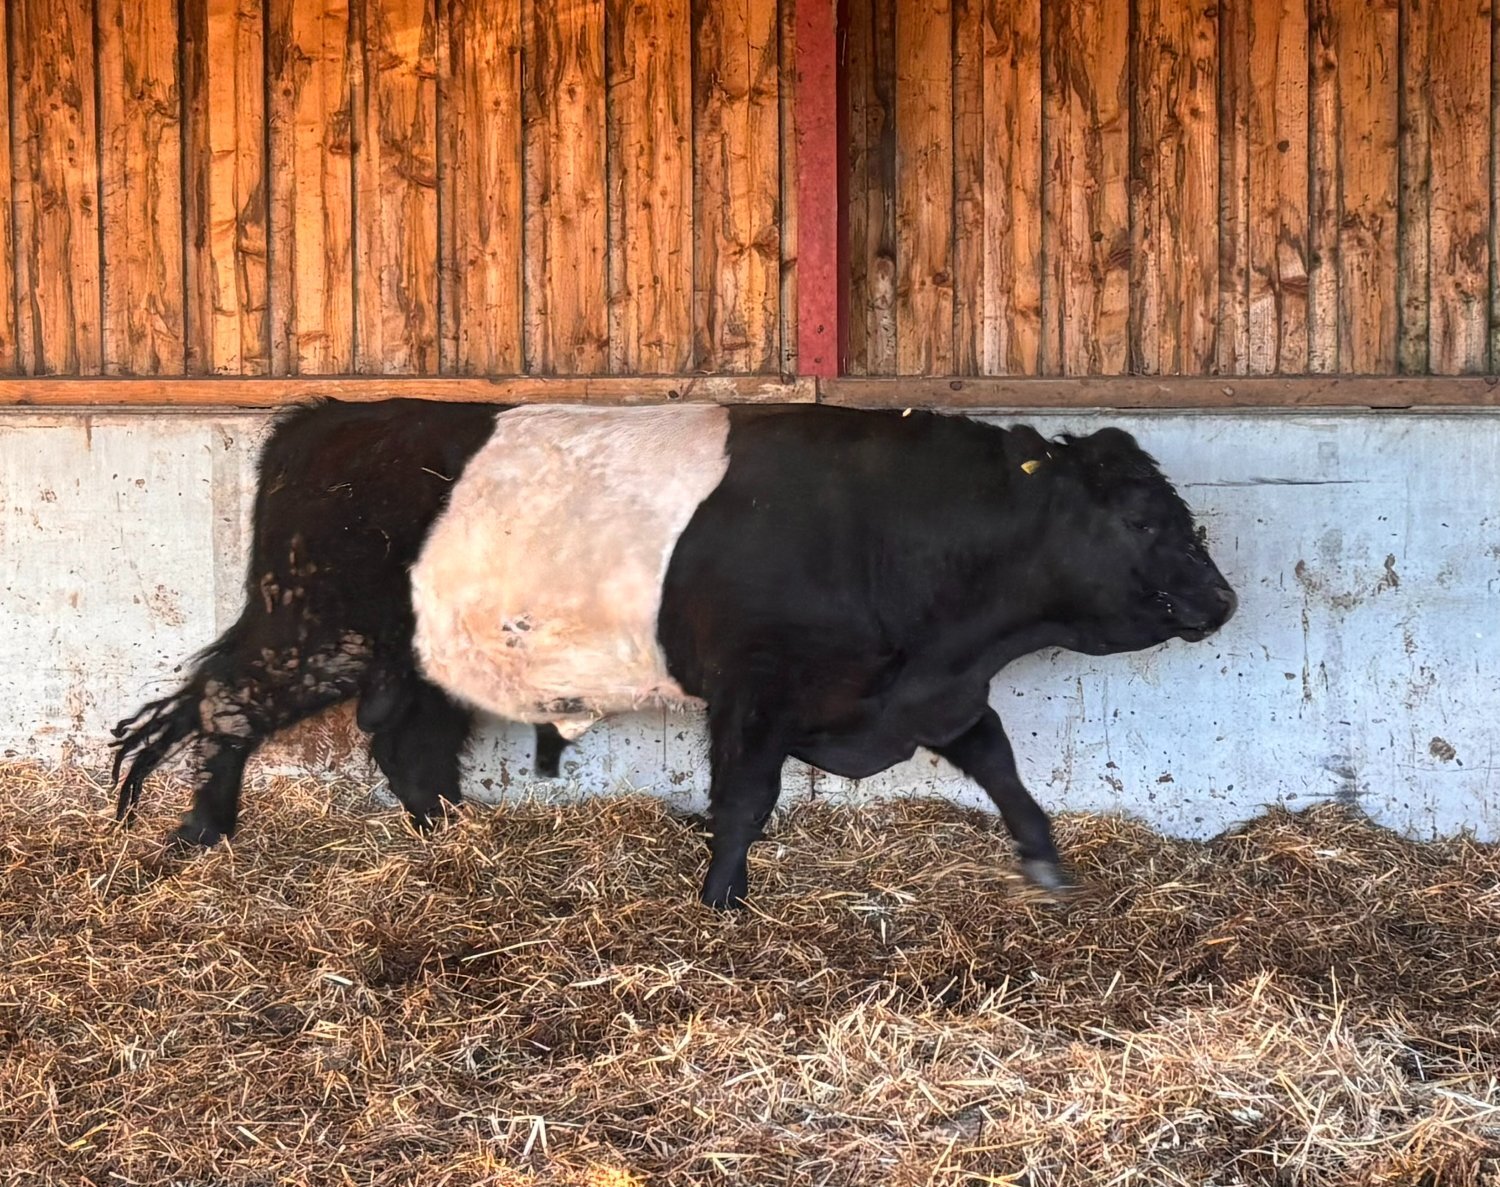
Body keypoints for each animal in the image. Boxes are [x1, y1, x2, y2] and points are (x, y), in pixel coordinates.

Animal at [112, 399, 1237, 909]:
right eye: (1144, 517)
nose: (1222, 598)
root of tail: (325, 418)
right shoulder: (758, 688)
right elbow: (743, 797)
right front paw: (722, 898)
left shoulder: (933, 687)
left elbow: (1002, 766)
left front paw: (1045, 861)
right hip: (317, 626)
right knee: (225, 703)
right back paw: (201, 830)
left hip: (410, 651)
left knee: (403, 746)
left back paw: (452, 838)